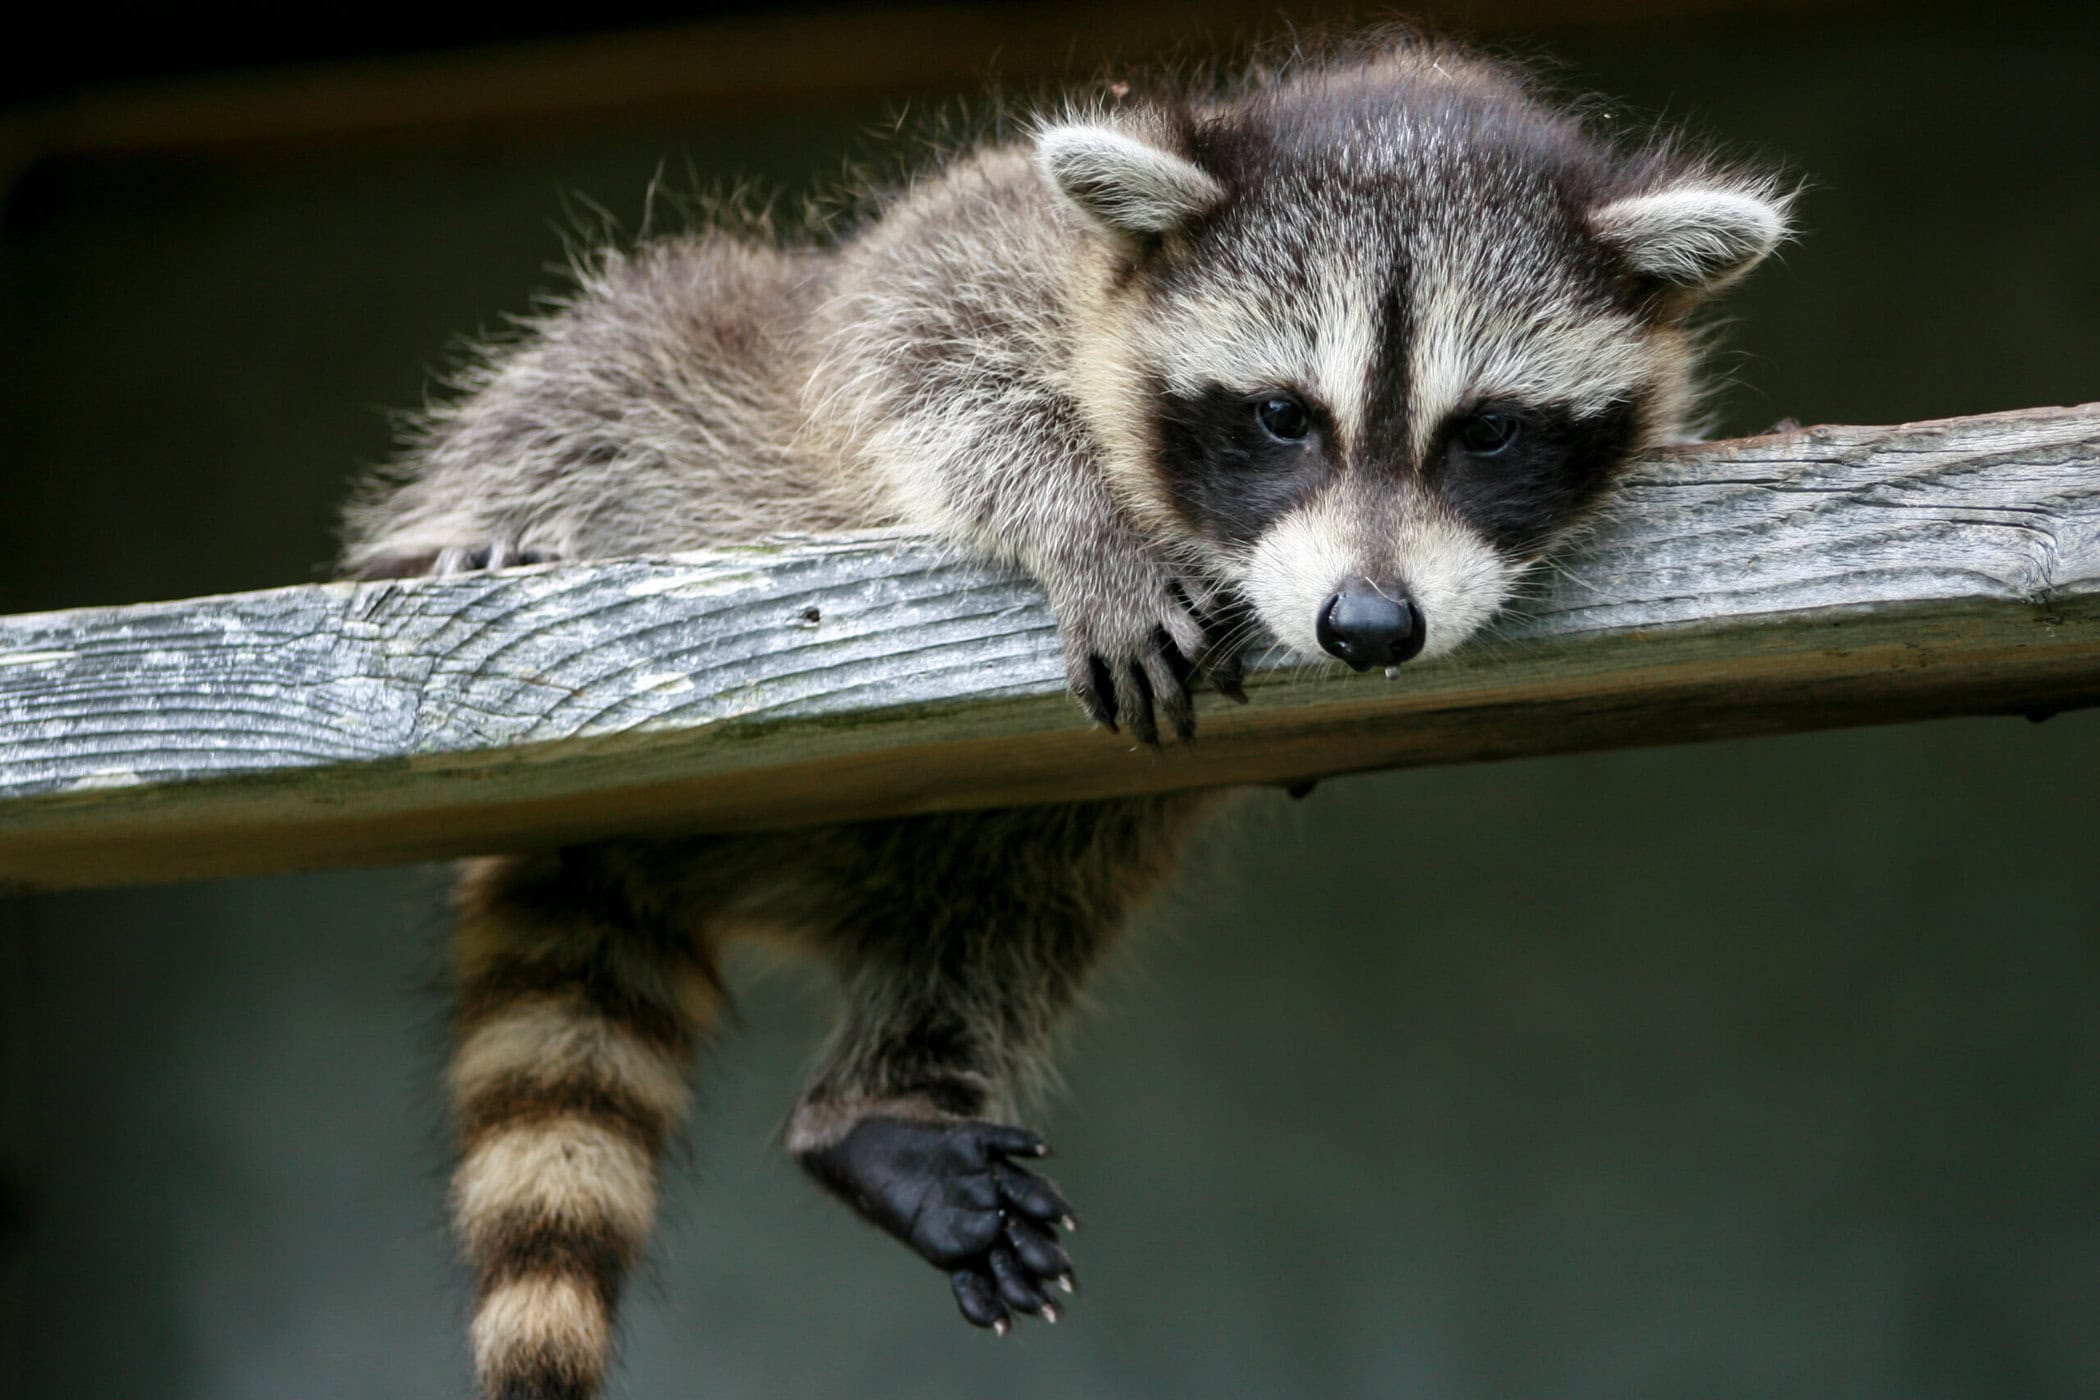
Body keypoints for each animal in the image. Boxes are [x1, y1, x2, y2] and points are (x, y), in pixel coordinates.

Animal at [341, 33, 1788, 1400]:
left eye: (1487, 434)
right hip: (683, 386)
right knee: (613, 357)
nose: (1371, 625)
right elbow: (912, 348)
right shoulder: (986, 241)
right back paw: (468, 527)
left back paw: (883, 1104)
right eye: (1282, 418)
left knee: (1020, 898)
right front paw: (1078, 517)